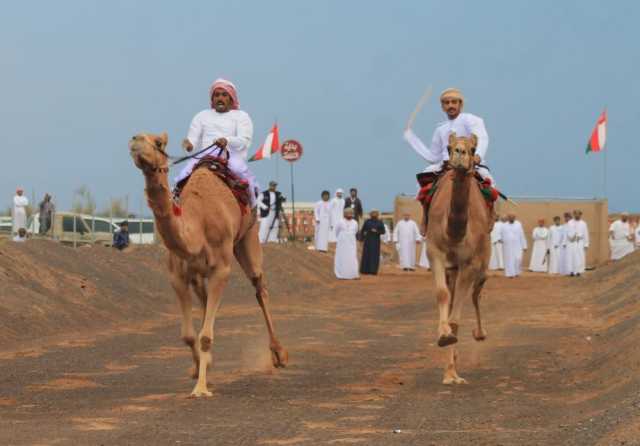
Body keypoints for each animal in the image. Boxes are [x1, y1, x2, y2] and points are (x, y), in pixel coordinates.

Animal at [128, 132, 288, 398]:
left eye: (158, 143)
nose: (136, 140)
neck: (196, 227)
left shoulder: (221, 270)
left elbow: (205, 336)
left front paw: (201, 388)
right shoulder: (178, 275)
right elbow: (188, 335)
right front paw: (199, 370)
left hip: (249, 236)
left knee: (259, 286)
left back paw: (279, 354)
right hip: (197, 275)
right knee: (204, 302)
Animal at [428, 132, 492, 384]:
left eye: (473, 148)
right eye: (449, 146)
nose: (459, 153)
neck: (454, 233)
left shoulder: (470, 264)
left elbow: (457, 316)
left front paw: (452, 372)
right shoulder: (435, 252)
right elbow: (442, 294)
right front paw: (444, 336)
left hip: (483, 264)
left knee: (476, 294)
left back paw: (480, 334)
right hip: (452, 269)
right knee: (454, 293)